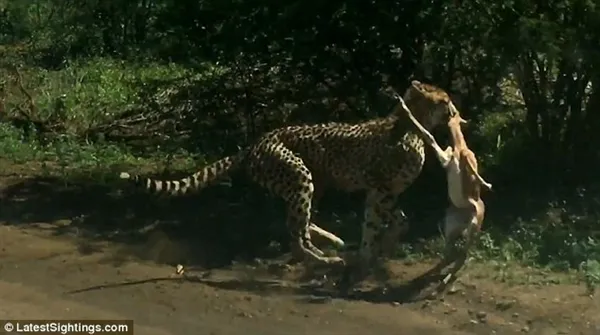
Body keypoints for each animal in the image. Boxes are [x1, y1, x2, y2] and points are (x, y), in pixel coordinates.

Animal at [119, 80, 462, 272]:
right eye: (444, 100)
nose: (455, 112)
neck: (413, 125)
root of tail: (255, 142)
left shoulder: (382, 192)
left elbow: (390, 221)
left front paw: (378, 253)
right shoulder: (380, 189)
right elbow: (385, 222)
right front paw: (370, 256)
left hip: (316, 180)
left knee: (301, 223)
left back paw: (331, 241)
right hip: (299, 176)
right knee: (295, 234)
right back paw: (324, 259)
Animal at [396, 95, 490, 288]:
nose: (451, 109)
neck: (459, 148)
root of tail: (463, 219)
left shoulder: (466, 159)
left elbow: (429, 135)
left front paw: (487, 184)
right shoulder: (446, 159)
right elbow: (429, 136)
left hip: (471, 230)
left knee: (462, 256)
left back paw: (442, 281)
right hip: (450, 227)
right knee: (451, 255)